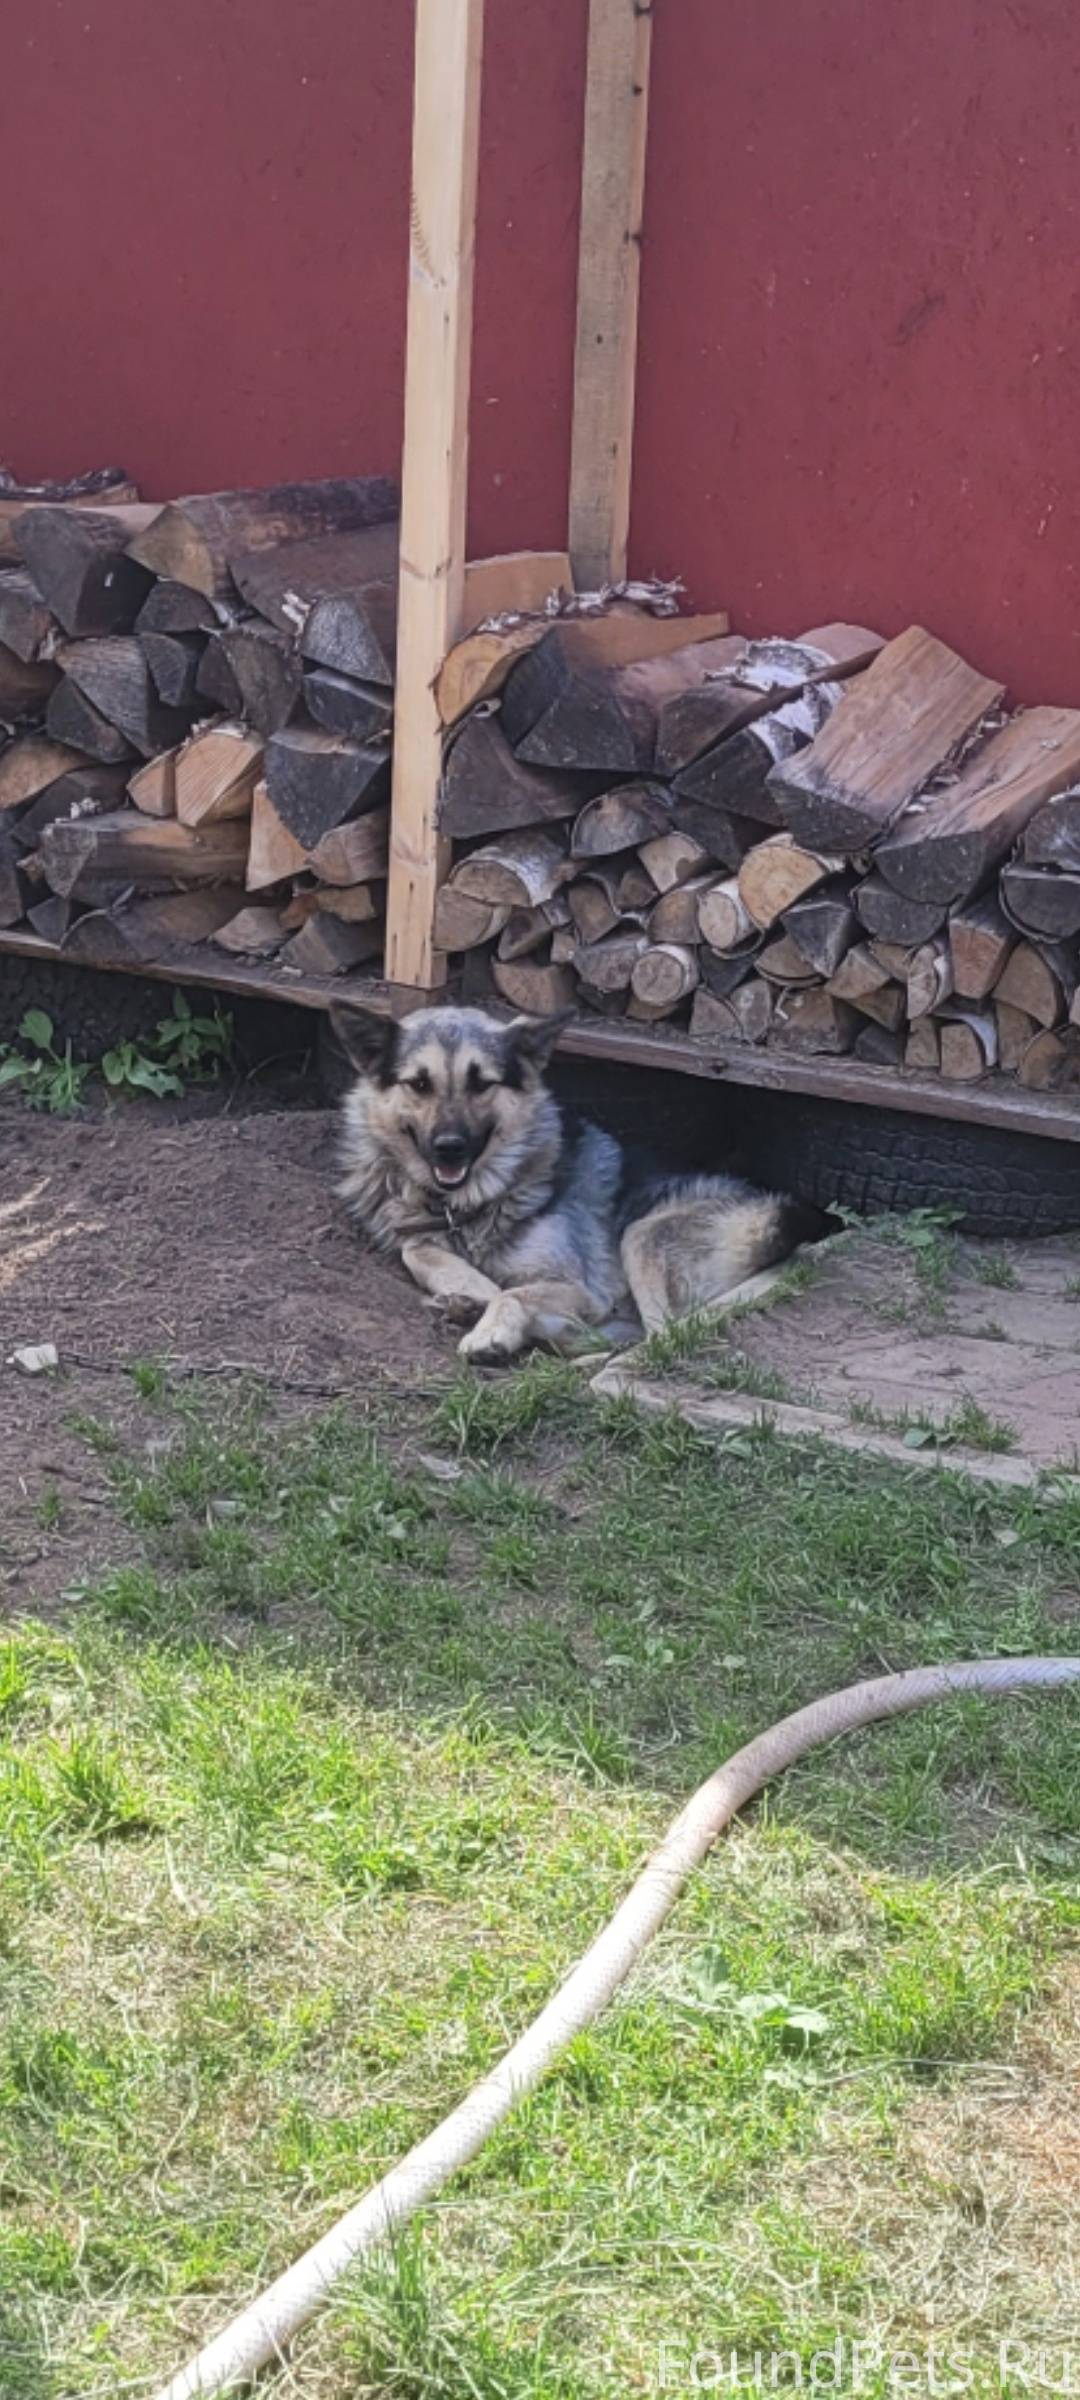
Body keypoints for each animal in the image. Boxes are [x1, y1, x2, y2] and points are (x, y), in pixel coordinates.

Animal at [330, 1002, 828, 1363]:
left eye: (481, 1084)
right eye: (418, 1084)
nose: (448, 1148)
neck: (475, 1203)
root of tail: (798, 1213)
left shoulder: (583, 1289)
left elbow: (511, 1291)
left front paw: (490, 1324)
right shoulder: (420, 1236)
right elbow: (419, 1250)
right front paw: (471, 1295)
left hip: (642, 1235)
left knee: (662, 1339)